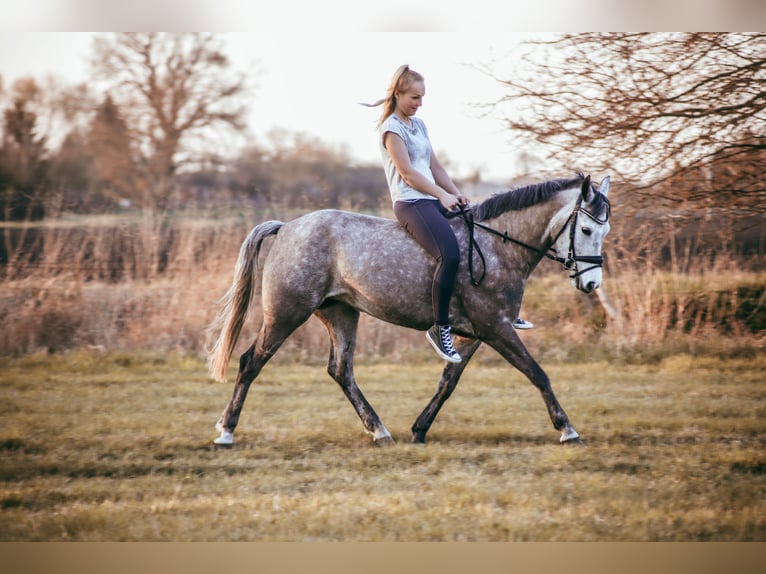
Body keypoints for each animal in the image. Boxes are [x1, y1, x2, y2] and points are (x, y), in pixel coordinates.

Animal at [208, 173, 612, 448]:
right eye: (587, 230)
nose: (592, 284)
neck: (498, 246)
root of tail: (287, 227)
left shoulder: (477, 333)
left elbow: (448, 381)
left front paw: (419, 429)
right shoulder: (496, 328)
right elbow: (537, 374)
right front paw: (567, 429)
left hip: (341, 313)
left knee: (341, 371)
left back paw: (380, 431)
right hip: (287, 313)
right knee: (250, 362)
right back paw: (226, 431)